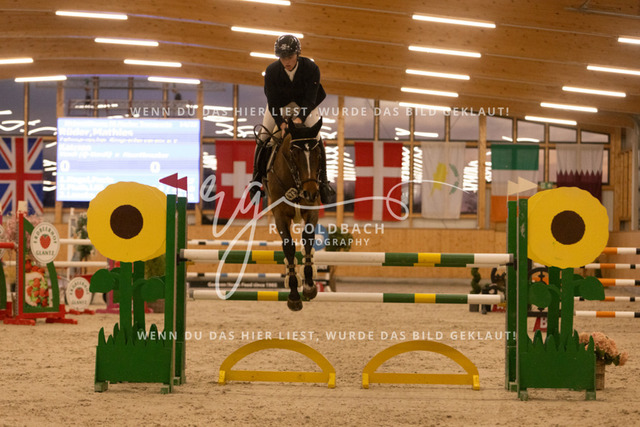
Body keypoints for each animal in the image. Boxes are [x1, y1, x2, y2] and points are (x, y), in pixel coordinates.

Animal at [264, 118, 323, 311]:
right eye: (294, 154)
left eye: (318, 154)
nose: (310, 193)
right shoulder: (280, 215)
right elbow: (289, 247)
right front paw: (294, 296)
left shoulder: (311, 210)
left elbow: (308, 239)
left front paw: (309, 287)